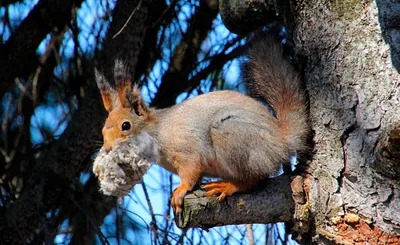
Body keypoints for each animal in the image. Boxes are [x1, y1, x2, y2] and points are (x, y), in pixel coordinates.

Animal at [94, 33, 310, 213]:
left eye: (126, 126)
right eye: (103, 131)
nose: (107, 149)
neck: (158, 131)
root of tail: (281, 142)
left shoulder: (187, 150)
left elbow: (191, 171)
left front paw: (180, 190)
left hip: (230, 134)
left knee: (255, 179)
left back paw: (229, 185)